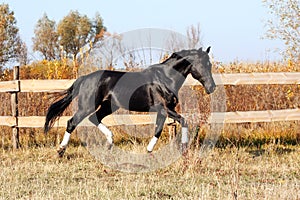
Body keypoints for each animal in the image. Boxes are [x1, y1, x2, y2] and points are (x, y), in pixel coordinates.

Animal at [44, 47, 216, 156]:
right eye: (204, 64)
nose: (212, 87)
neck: (165, 78)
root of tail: (85, 78)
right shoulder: (165, 109)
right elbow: (184, 121)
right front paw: (184, 149)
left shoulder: (163, 112)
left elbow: (158, 130)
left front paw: (149, 151)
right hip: (87, 106)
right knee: (72, 122)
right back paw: (61, 151)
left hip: (108, 106)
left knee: (95, 118)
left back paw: (110, 143)